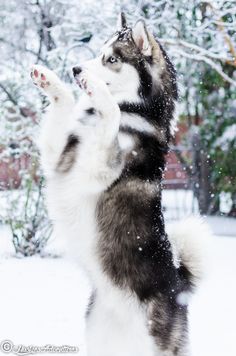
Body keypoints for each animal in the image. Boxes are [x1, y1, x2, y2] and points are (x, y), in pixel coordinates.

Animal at [30, 13, 207, 356]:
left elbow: (109, 113)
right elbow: (66, 104)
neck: (136, 112)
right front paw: (50, 81)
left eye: (111, 59)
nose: (76, 70)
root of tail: (180, 286)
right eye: (98, 53)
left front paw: (98, 92)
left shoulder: (97, 169)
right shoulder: (59, 157)